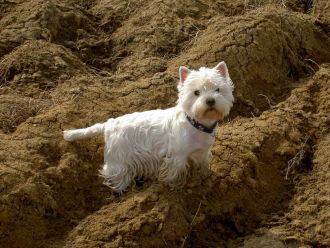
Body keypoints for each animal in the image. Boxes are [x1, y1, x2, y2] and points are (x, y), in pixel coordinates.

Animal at [63, 61, 235, 192]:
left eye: (218, 89)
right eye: (196, 92)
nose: (210, 100)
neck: (196, 124)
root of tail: (109, 124)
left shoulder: (201, 153)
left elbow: (202, 165)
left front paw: (204, 175)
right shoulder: (176, 156)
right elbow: (175, 172)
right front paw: (174, 186)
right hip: (118, 160)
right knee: (115, 175)